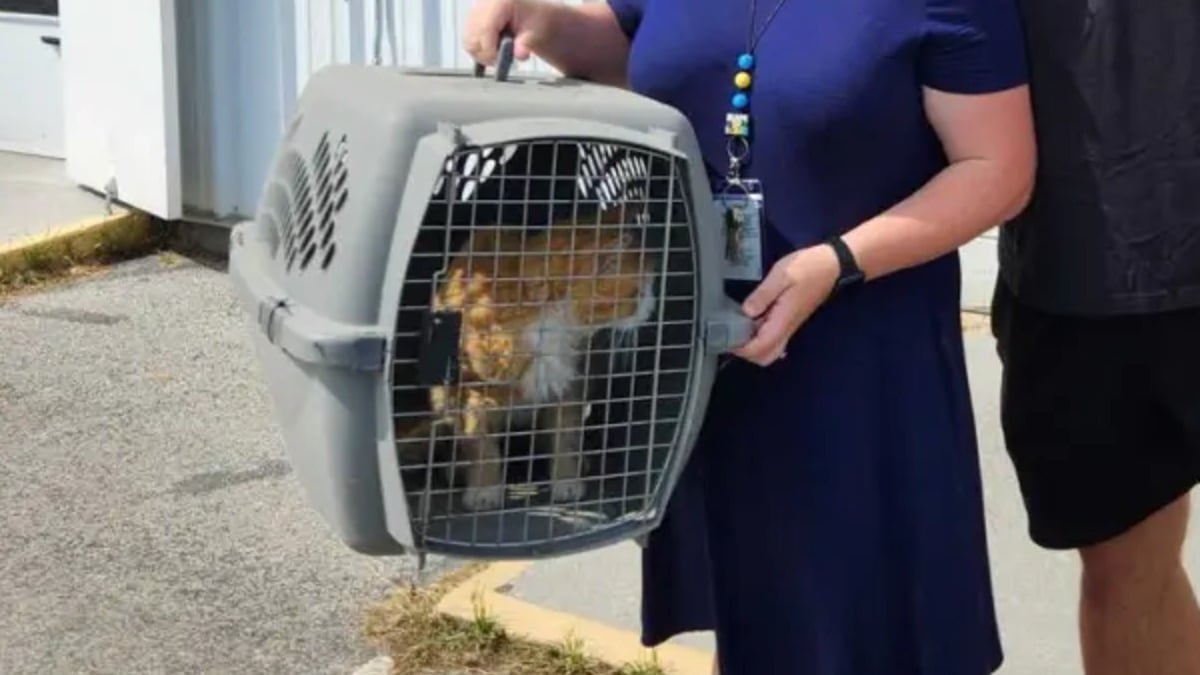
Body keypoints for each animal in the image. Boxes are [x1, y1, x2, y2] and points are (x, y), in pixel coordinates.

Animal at [398, 205, 662, 509]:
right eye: (640, 292)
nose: (653, 307)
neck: (551, 323)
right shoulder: (472, 392)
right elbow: (481, 446)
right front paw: (485, 489)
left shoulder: (567, 386)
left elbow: (564, 437)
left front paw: (566, 480)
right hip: (443, 394)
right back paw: (456, 467)